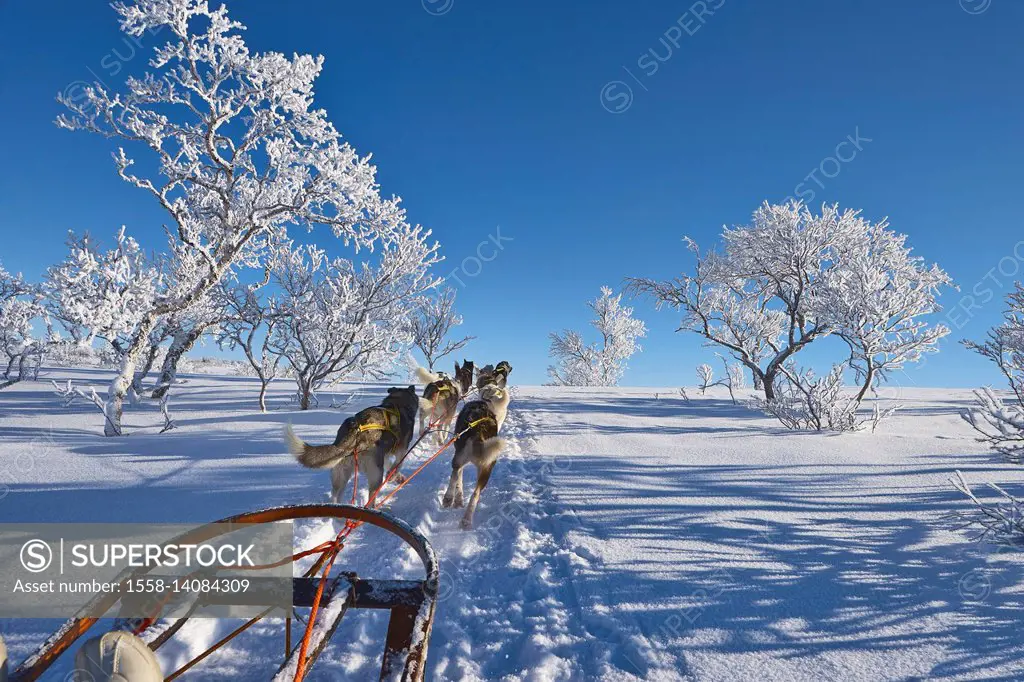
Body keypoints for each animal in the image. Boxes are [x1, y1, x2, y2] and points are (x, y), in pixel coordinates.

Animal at [284, 385, 419, 501]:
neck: (397, 403)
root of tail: (355, 431)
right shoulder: (402, 450)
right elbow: (396, 466)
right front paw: (393, 477)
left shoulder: (384, 455)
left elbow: (391, 465)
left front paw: (397, 477)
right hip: (375, 475)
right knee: (371, 496)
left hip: (340, 476)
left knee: (335, 496)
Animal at [442, 382, 509, 524]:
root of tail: (479, 430)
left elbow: (459, 480)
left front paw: (458, 500)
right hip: (486, 469)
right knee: (476, 493)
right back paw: (466, 520)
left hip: (459, 458)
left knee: (455, 473)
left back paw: (448, 498)